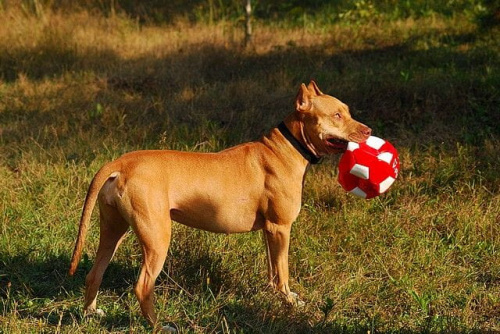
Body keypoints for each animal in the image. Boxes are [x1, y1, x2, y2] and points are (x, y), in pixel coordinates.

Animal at [67, 81, 372, 332]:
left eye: (347, 111)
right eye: (336, 115)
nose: (368, 130)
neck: (288, 146)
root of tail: (121, 163)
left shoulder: (270, 231)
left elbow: (273, 270)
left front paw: (276, 296)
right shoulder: (281, 228)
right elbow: (283, 272)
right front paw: (289, 302)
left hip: (113, 230)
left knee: (94, 274)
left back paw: (91, 314)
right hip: (157, 238)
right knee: (142, 286)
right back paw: (159, 326)